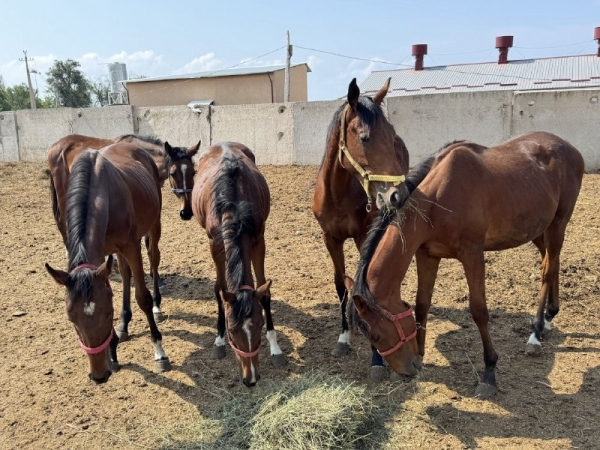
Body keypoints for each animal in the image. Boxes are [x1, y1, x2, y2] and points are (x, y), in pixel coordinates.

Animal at [45, 143, 173, 383]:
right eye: (72, 319)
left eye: (107, 314)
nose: (99, 375)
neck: (101, 194)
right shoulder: (102, 256)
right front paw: (112, 351)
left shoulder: (131, 246)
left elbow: (142, 297)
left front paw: (159, 352)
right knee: (125, 273)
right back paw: (124, 325)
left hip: (154, 224)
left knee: (153, 257)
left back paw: (157, 306)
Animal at [191, 142, 286, 387]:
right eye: (232, 331)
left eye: (260, 325)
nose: (251, 378)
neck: (233, 207)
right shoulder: (215, 244)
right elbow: (219, 289)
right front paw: (218, 341)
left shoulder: (258, 240)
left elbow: (264, 290)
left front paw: (275, 347)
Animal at [312, 78, 410, 379]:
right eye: (365, 137)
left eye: (390, 134)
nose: (398, 195)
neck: (338, 194)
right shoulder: (330, 239)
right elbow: (341, 287)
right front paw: (343, 338)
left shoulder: (361, 236)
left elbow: (363, 287)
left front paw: (376, 358)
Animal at [345, 131, 585, 398]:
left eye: (376, 336)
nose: (407, 370)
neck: (437, 199)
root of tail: (569, 148)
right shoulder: (427, 255)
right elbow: (422, 304)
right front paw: (422, 353)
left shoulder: (472, 255)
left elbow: (479, 311)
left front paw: (489, 373)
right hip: (538, 228)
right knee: (551, 262)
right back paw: (550, 315)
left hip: (558, 223)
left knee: (548, 270)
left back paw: (536, 332)